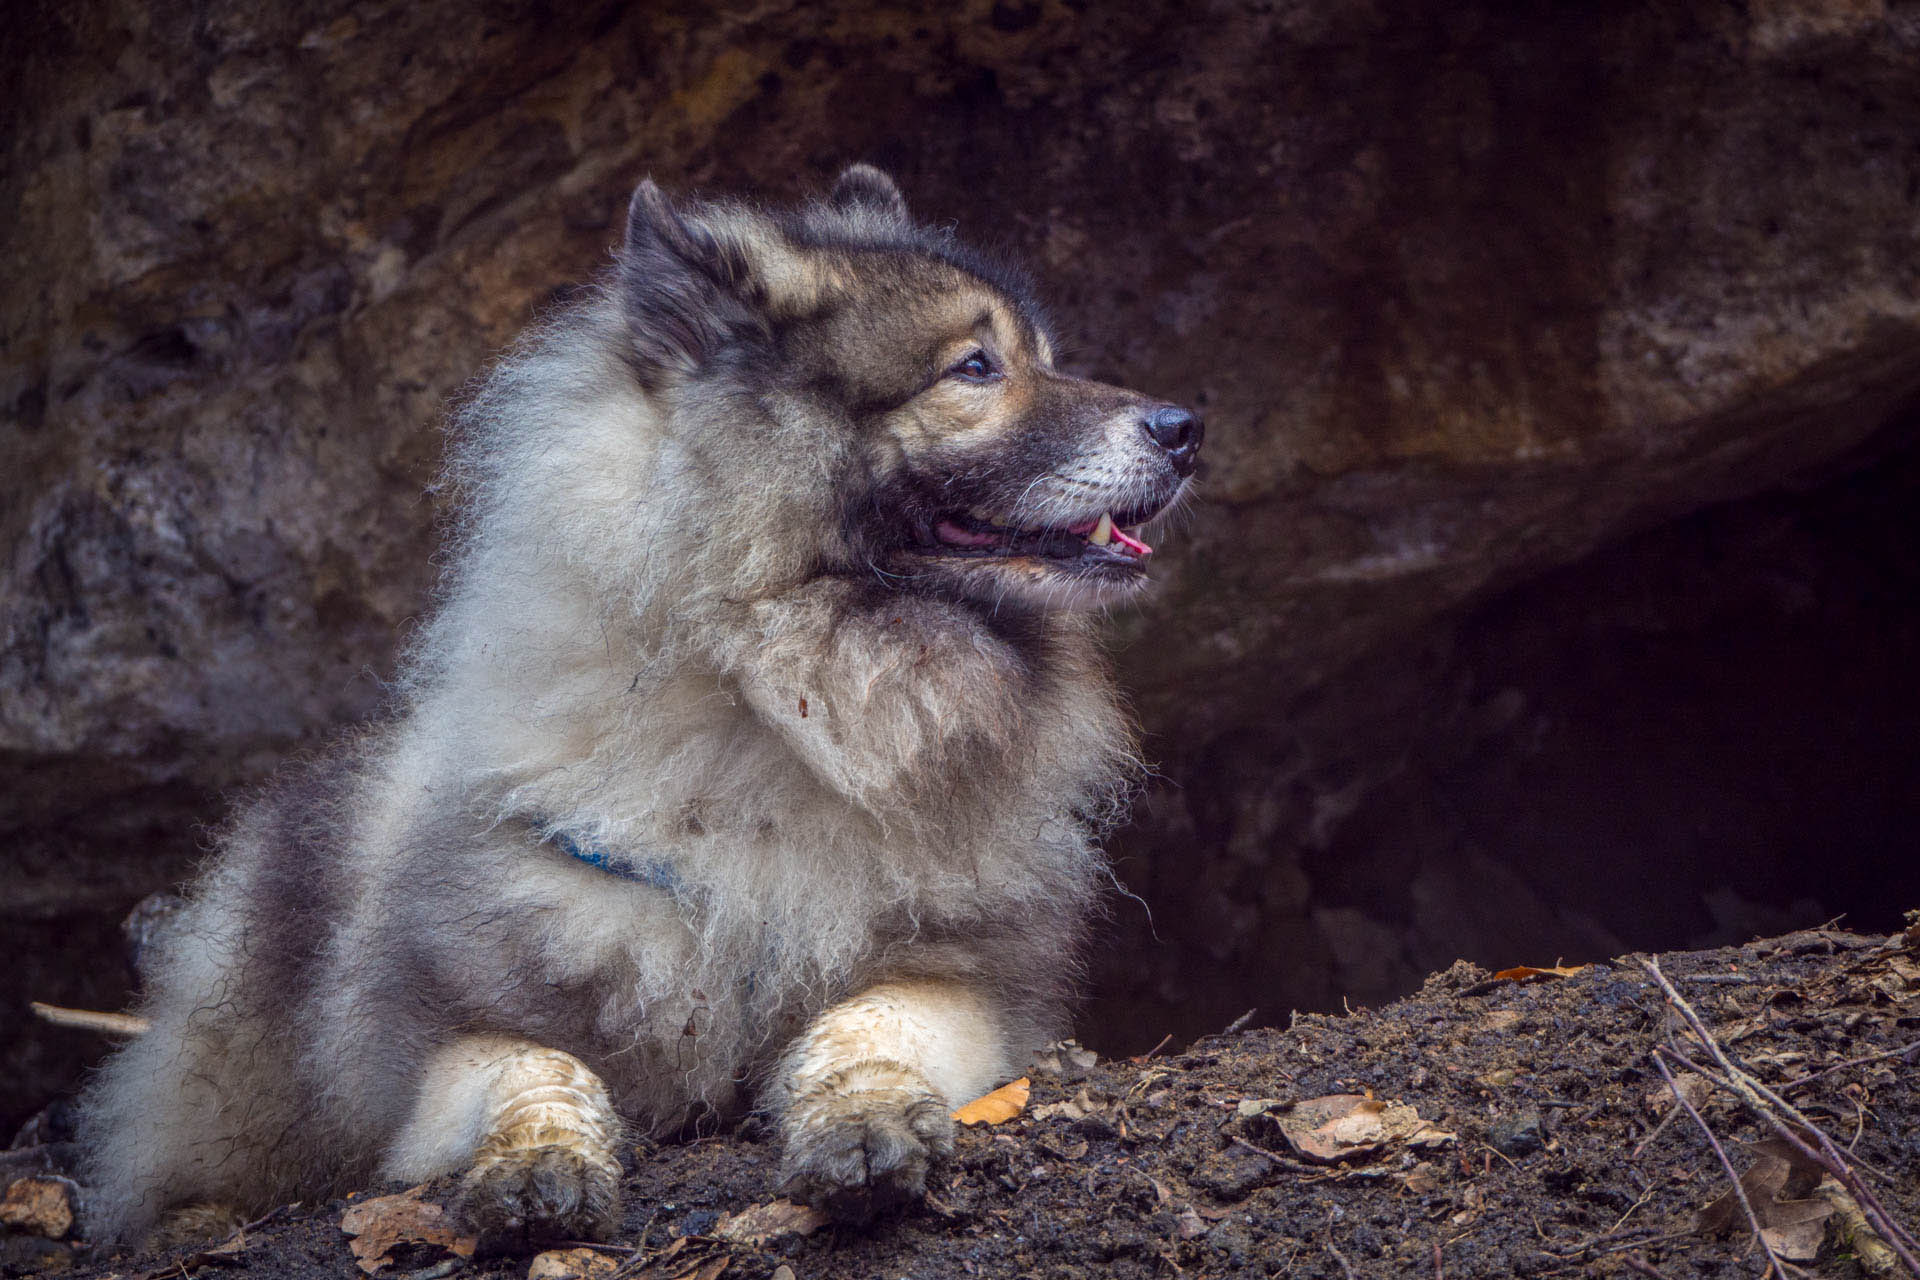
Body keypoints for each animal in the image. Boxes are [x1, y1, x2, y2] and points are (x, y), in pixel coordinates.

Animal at [82, 163, 1198, 1251]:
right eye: (974, 368)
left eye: (1041, 356)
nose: (1186, 427)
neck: (782, 698)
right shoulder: (432, 1041)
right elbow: (534, 1066)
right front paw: (537, 1161)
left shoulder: (962, 982)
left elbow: (868, 1026)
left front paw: (865, 1121)